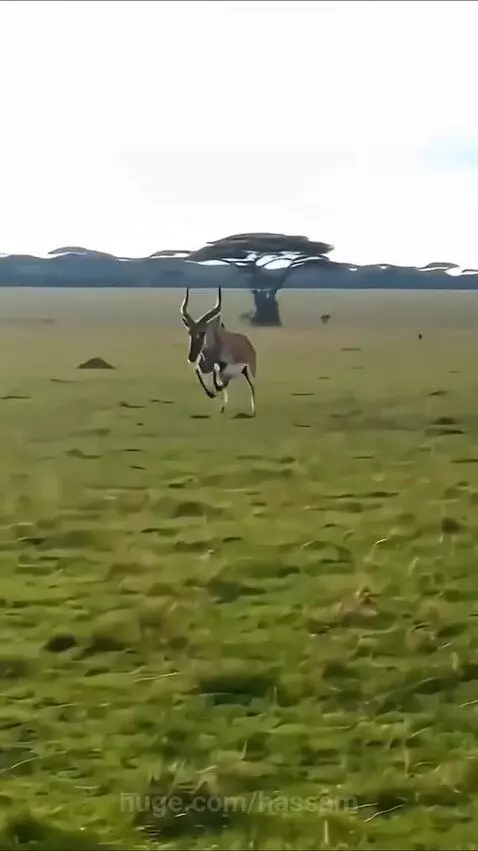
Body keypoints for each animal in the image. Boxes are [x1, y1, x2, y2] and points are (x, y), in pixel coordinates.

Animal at [180, 286, 257, 416]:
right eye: (190, 332)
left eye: (202, 332)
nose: (191, 357)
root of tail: (248, 342)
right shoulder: (203, 367)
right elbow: (198, 372)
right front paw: (211, 394)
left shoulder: (223, 367)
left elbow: (219, 380)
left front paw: (214, 392)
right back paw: (222, 408)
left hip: (248, 372)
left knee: (252, 386)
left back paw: (253, 410)